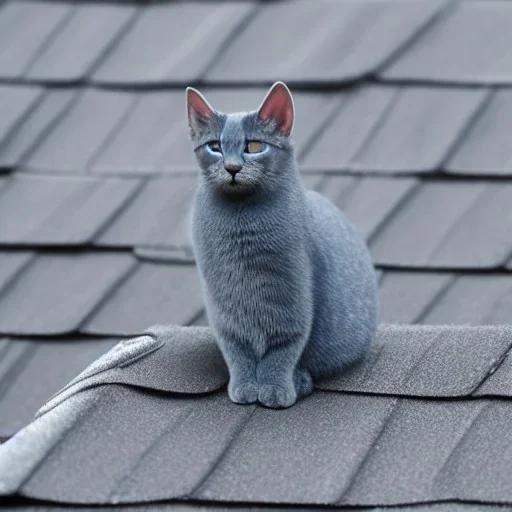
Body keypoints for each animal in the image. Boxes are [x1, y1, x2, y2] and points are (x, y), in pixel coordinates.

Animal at [186, 82, 378, 410]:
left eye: (253, 147)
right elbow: (237, 350)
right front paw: (244, 387)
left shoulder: (291, 299)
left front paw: (275, 390)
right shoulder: (224, 310)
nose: (232, 167)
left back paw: (300, 381)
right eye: (215, 146)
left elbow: (283, 349)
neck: (241, 227)